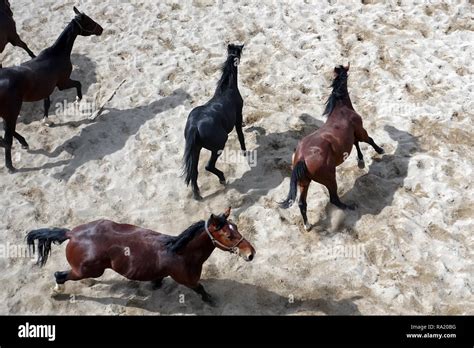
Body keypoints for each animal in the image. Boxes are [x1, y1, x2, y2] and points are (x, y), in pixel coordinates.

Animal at [0, 6, 103, 173]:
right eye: (88, 21)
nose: (101, 29)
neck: (56, 54)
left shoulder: (47, 89)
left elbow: (46, 104)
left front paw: (46, 121)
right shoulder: (62, 83)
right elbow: (78, 84)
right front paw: (78, 100)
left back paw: (24, 143)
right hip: (12, 112)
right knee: (7, 138)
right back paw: (10, 165)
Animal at [25, 207, 256, 304]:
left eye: (236, 227)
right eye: (229, 235)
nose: (251, 254)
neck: (179, 252)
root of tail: (72, 234)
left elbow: (158, 278)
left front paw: (155, 284)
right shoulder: (188, 280)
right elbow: (201, 289)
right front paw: (211, 301)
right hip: (89, 269)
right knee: (60, 275)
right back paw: (57, 291)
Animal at [183, 43, 246, 200]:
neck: (227, 89)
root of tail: (194, 127)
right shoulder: (238, 115)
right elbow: (240, 134)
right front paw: (245, 152)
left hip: (196, 149)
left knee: (194, 171)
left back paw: (197, 195)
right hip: (218, 146)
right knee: (208, 166)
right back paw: (222, 179)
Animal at [280, 64, 384, 230]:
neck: (341, 110)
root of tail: (302, 158)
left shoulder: (352, 136)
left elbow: (356, 144)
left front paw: (361, 161)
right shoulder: (360, 131)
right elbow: (369, 140)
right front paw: (379, 150)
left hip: (304, 182)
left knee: (302, 203)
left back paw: (307, 225)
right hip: (329, 178)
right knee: (334, 198)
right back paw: (348, 206)